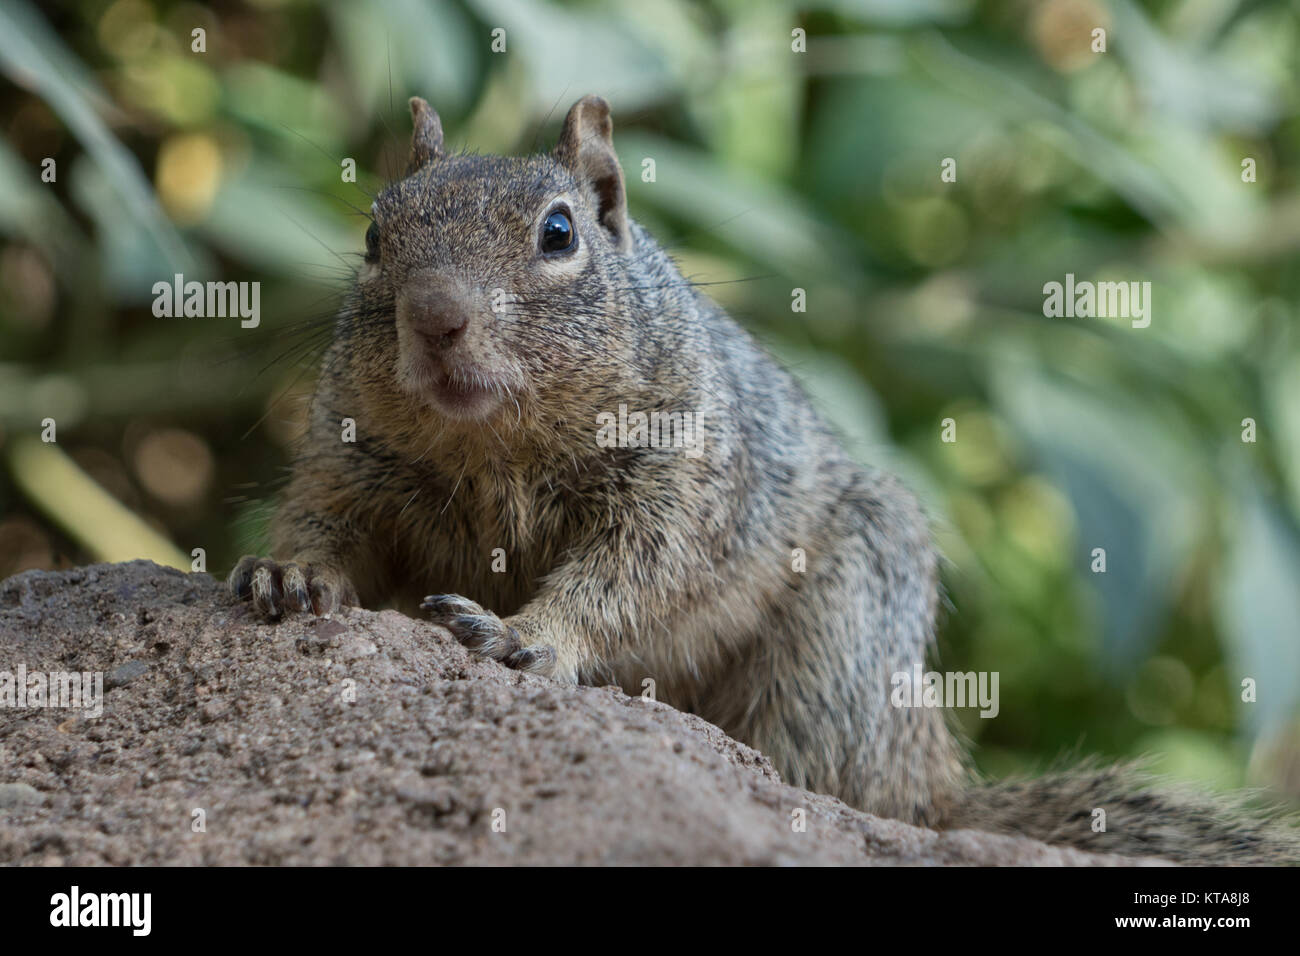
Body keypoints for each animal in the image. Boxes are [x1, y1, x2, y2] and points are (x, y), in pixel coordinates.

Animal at [228, 93, 1294, 863]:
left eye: (560, 233)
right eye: (374, 237)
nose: (436, 317)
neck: (493, 448)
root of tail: (932, 784)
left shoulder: (685, 484)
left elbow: (633, 576)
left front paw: (530, 635)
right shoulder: (350, 459)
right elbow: (327, 521)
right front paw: (293, 574)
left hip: (841, 631)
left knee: (829, 779)